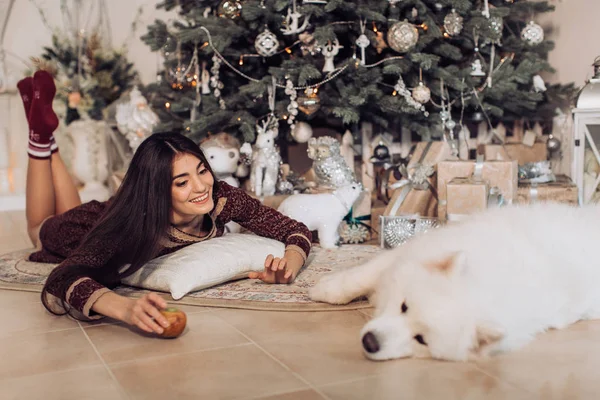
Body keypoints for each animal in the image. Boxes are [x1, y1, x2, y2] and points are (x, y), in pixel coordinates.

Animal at [308, 203, 600, 362]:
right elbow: (359, 277)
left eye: (421, 340)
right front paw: (322, 289)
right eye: (404, 306)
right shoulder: (411, 252)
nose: (370, 342)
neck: (486, 280)